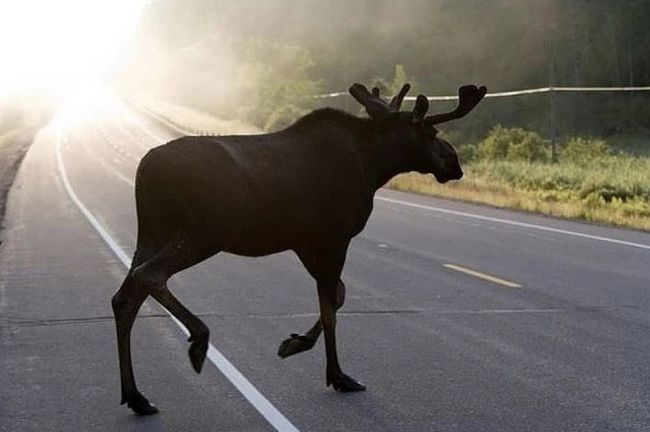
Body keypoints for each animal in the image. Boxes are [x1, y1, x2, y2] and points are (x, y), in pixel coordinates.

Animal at [112, 82, 486, 416]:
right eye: (431, 132)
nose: (454, 163)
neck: (374, 166)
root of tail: (145, 169)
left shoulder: (305, 242)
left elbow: (338, 296)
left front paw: (294, 343)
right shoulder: (333, 237)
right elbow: (331, 308)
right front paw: (338, 376)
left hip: (153, 233)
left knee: (124, 298)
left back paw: (136, 397)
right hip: (204, 233)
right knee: (149, 275)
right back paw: (198, 341)